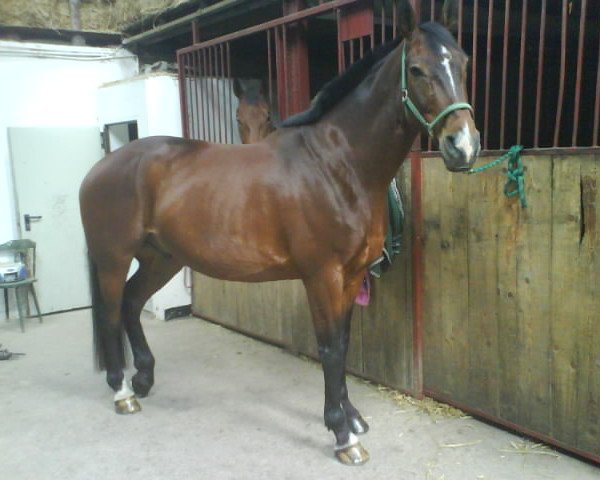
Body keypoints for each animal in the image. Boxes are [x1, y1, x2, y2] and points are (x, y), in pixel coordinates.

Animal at [79, 0, 480, 464]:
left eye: (464, 63)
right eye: (416, 70)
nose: (463, 146)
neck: (337, 164)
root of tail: (101, 168)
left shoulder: (351, 276)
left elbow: (343, 344)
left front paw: (353, 418)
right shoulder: (322, 276)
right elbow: (330, 348)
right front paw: (343, 434)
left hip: (162, 258)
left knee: (130, 303)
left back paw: (143, 379)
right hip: (113, 258)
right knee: (111, 312)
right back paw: (122, 391)